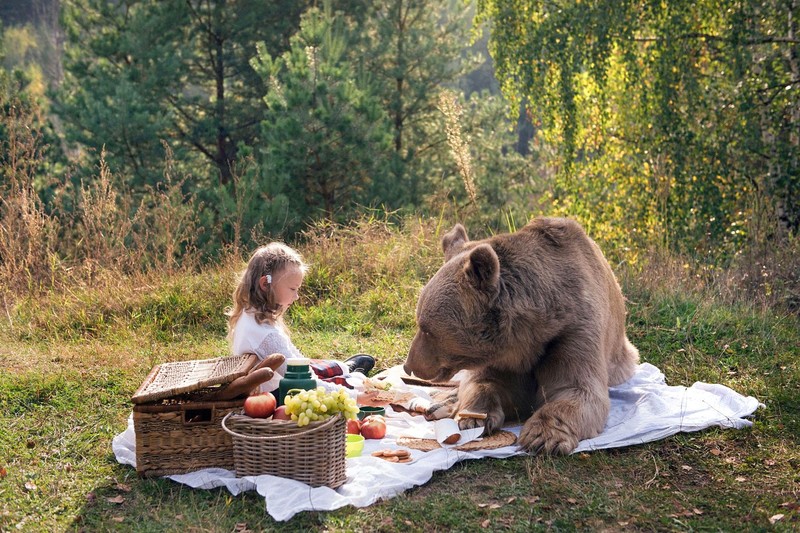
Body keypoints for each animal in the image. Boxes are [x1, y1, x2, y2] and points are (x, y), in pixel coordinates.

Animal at [404, 216, 640, 454]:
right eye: (420, 322)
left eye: (426, 329)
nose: (409, 366)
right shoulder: (501, 357)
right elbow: (484, 382)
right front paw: (474, 418)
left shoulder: (573, 330)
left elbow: (576, 388)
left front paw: (542, 437)